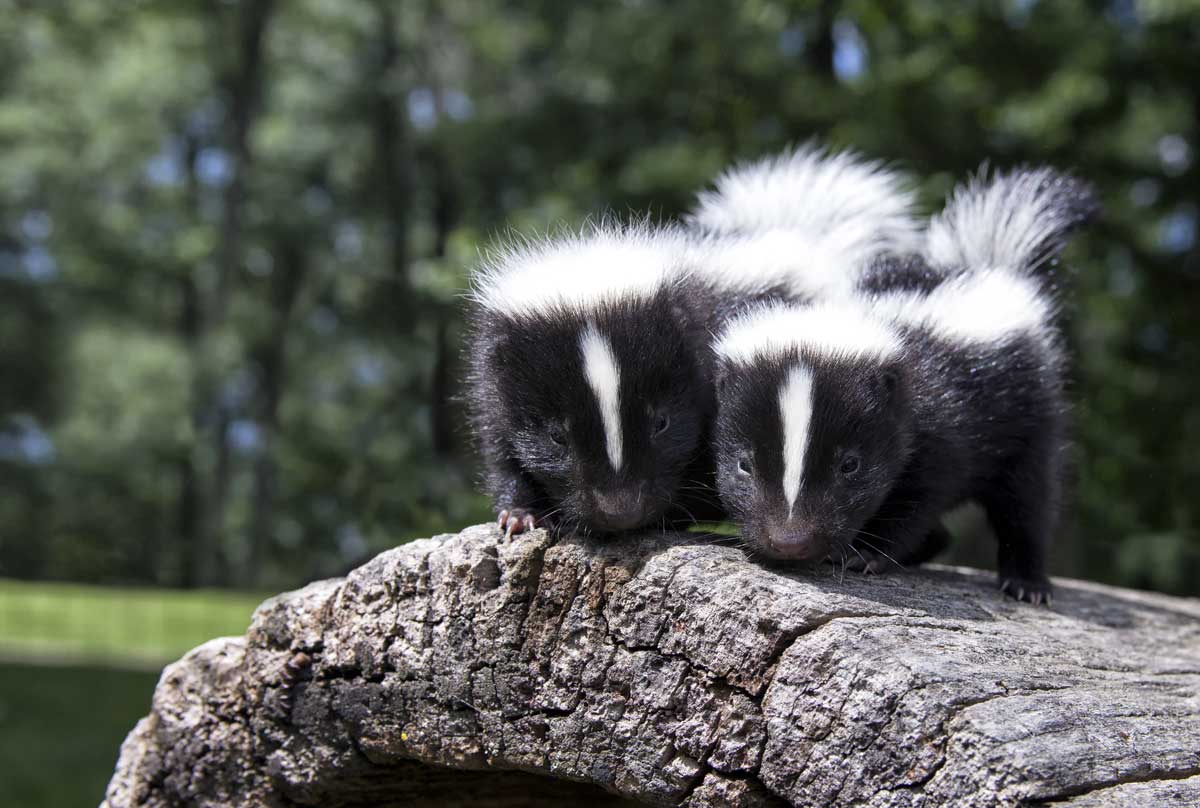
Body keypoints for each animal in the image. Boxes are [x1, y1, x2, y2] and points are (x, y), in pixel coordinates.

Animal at [710, 166, 1099, 602]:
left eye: (850, 465)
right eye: (744, 464)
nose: (790, 540)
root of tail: (991, 267)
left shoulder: (941, 422)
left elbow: (919, 498)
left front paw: (865, 553)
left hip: (1030, 412)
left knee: (1028, 499)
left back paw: (1027, 582)